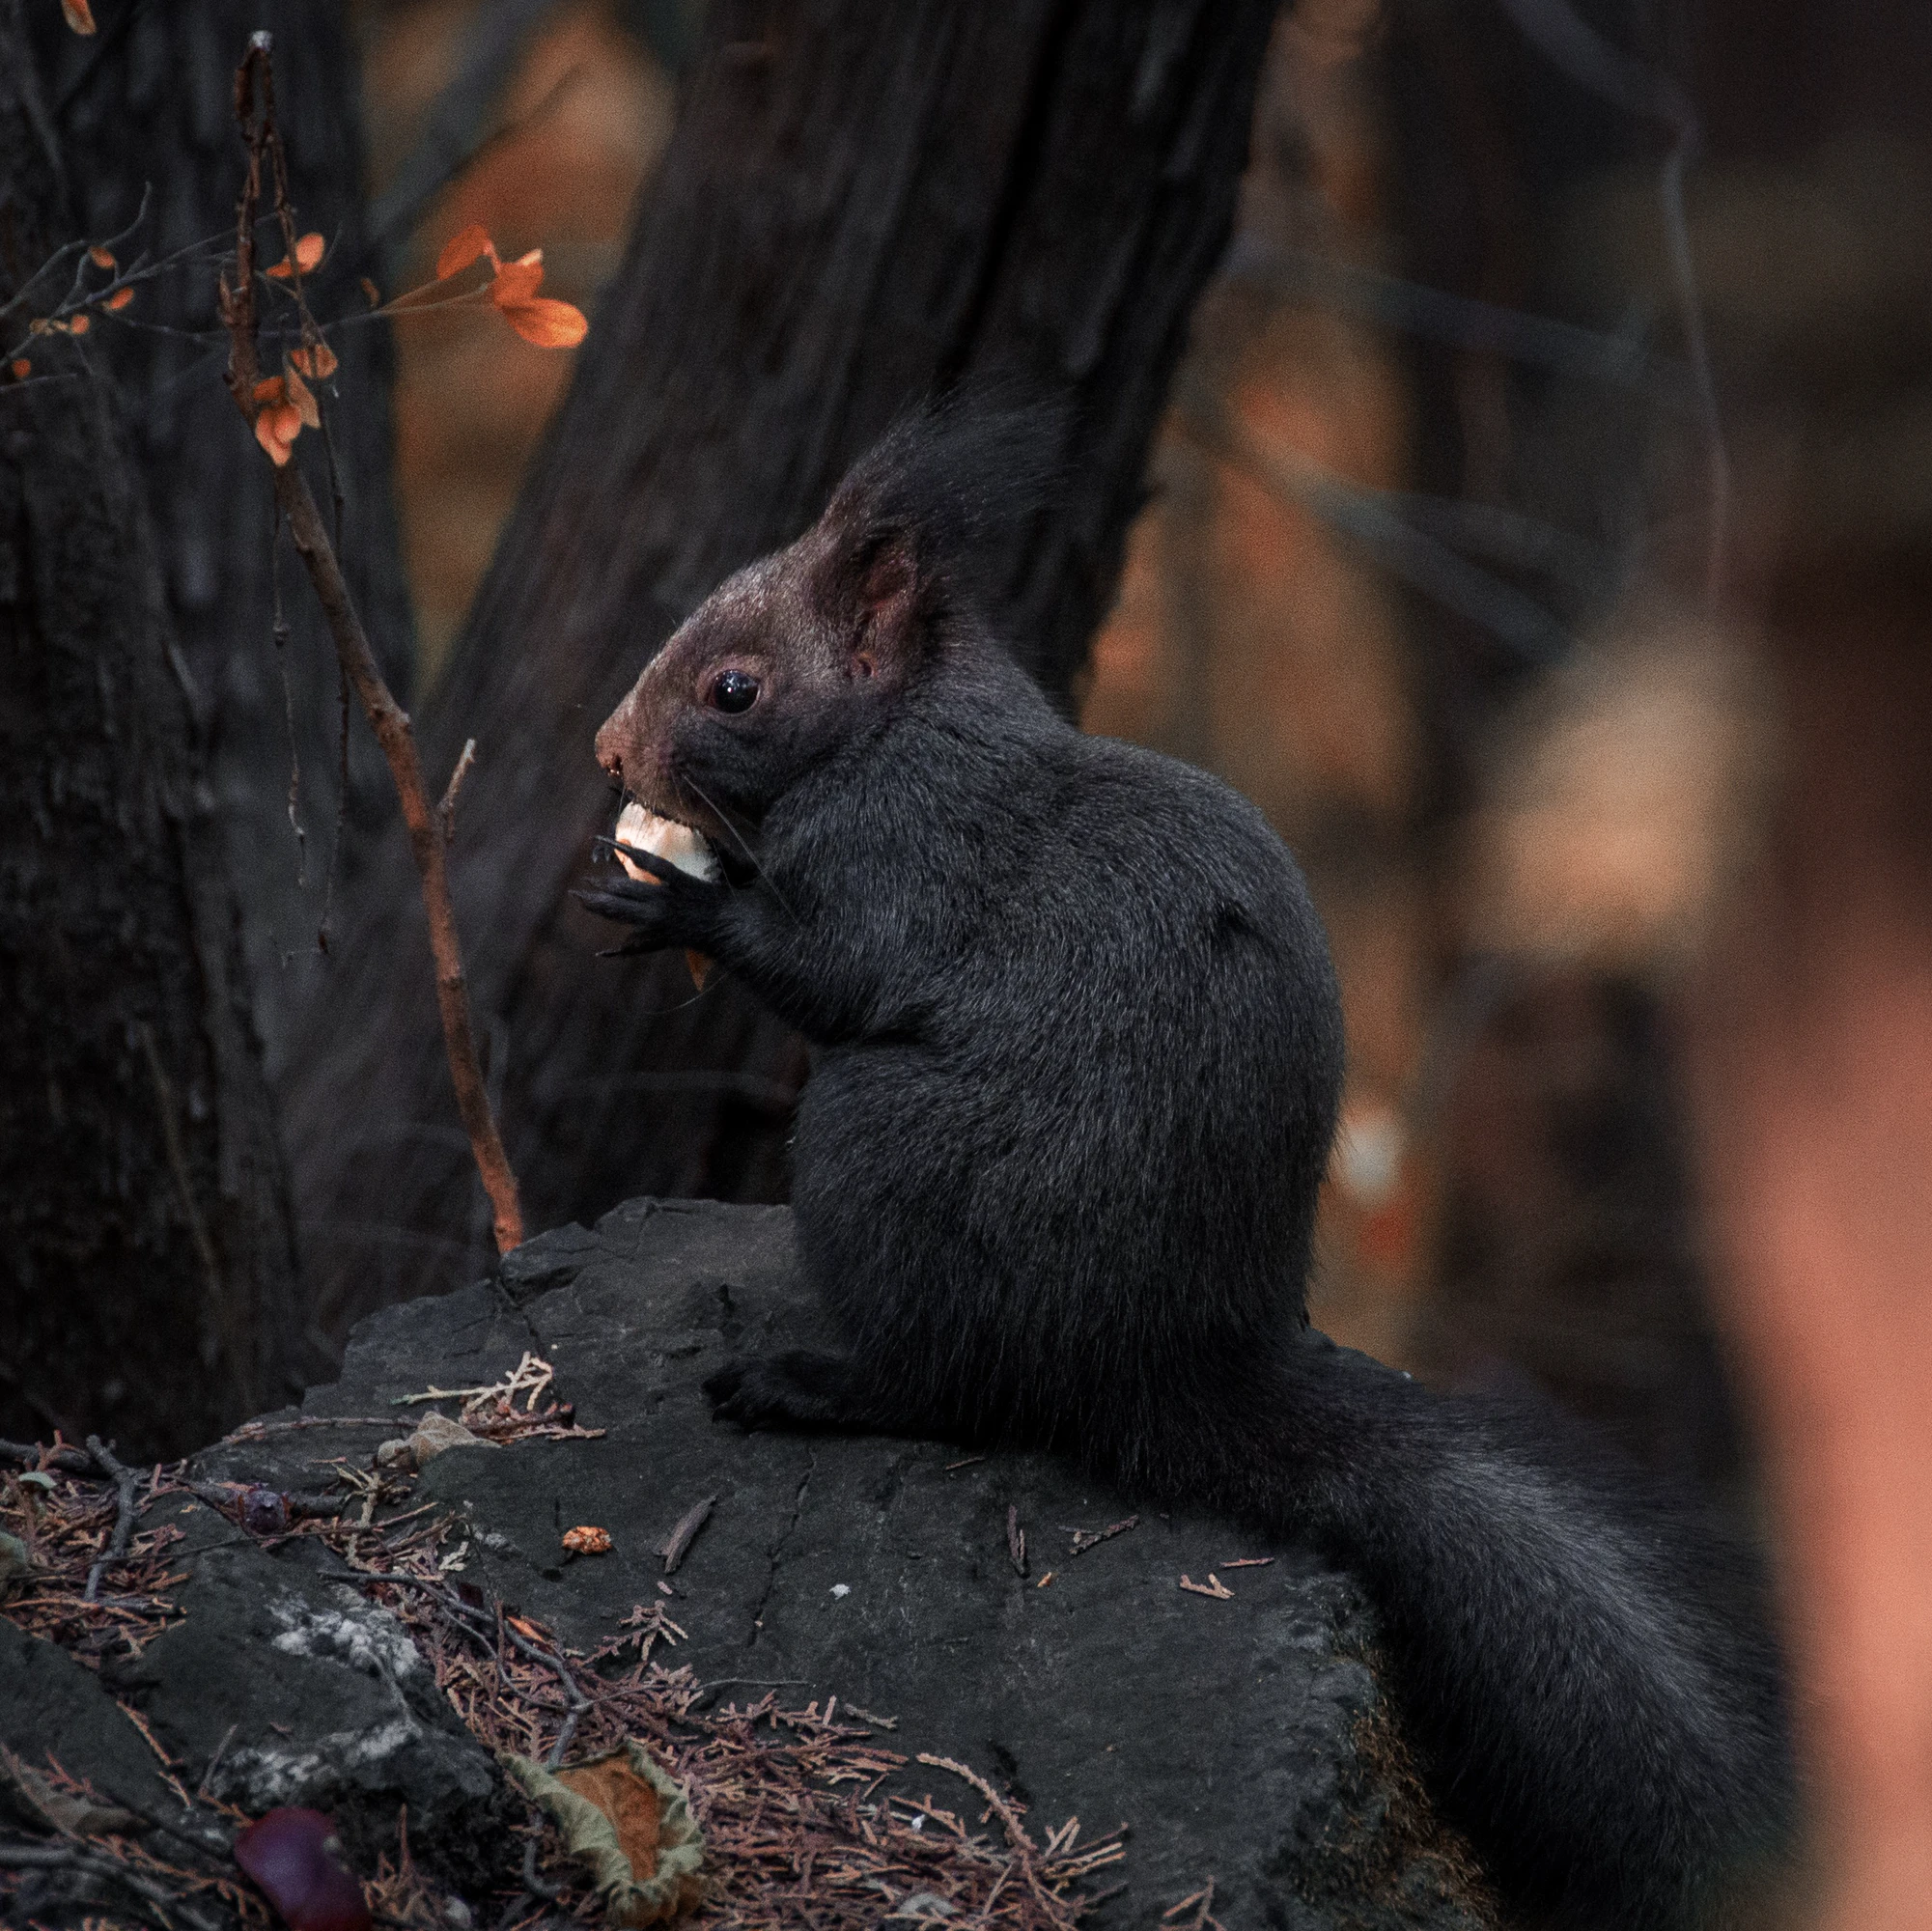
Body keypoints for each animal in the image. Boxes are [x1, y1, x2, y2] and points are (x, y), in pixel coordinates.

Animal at [583, 400, 1792, 1923]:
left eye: (734, 688)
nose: (608, 754)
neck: (900, 728)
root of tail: (1162, 1368)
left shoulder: (905, 858)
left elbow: (830, 967)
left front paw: (678, 903)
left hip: (872, 1151)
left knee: (954, 1386)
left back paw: (810, 1381)